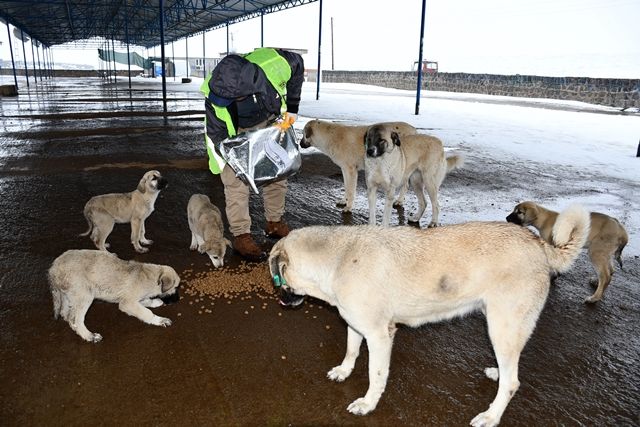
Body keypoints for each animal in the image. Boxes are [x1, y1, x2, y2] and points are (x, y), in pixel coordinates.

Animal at [47, 251, 180, 344]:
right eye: (176, 288)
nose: (178, 300)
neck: (151, 276)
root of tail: (53, 269)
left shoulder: (132, 299)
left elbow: (145, 301)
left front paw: (155, 302)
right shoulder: (127, 303)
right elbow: (146, 312)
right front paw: (159, 320)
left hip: (68, 295)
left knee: (67, 314)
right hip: (85, 295)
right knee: (76, 319)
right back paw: (89, 336)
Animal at [268, 206, 592, 426]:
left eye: (277, 278)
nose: (280, 299)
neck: (339, 258)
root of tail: (540, 245)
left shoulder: (380, 336)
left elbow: (375, 375)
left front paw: (368, 403)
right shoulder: (356, 325)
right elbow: (350, 350)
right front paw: (344, 371)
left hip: (502, 327)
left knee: (513, 383)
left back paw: (490, 415)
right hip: (504, 329)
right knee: (510, 369)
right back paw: (498, 373)